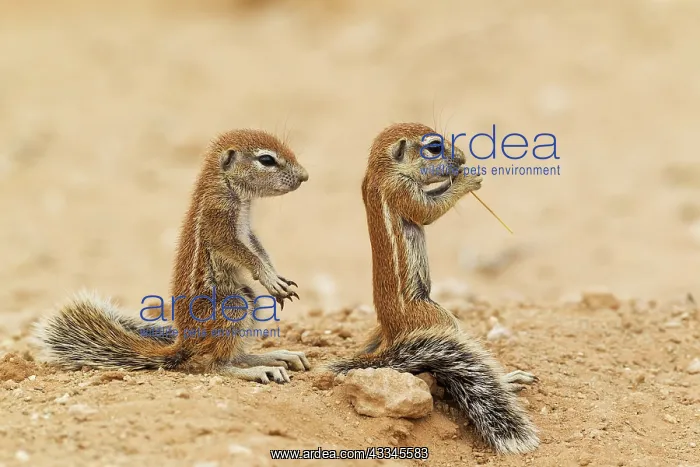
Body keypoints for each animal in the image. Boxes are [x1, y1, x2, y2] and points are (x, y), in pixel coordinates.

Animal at [32, 129, 311, 384]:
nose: (305, 176)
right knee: (217, 364)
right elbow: (242, 252)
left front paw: (275, 275)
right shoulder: (217, 221)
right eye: (266, 160)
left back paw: (277, 356)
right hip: (233, 303)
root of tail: (185, 343)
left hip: (249, 297)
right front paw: (269, 277)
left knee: (233, 354)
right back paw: (259, 369)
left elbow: (258, 248)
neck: (230, 190)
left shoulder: (248, 231)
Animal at [327, 123, 539, 454]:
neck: (381, 170)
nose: (462, 158)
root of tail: (392, 335)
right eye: (434, 147)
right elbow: (428, 211)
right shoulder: (401, 190)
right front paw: (467, 179)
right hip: (439, 319)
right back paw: (509, 379)